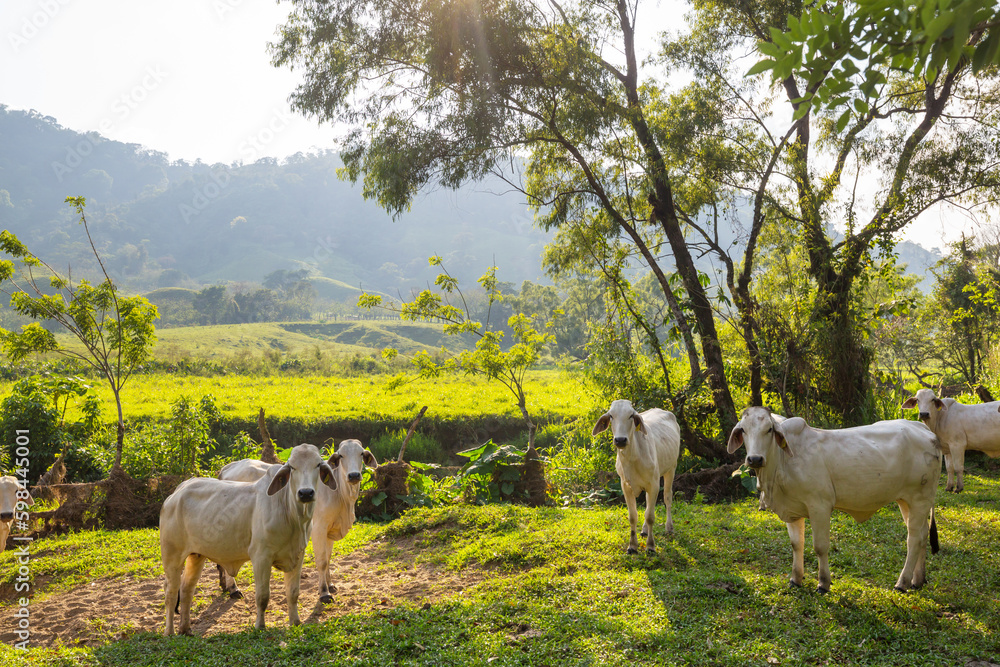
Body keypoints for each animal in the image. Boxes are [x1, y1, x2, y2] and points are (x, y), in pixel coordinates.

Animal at [159, 443, 338, 635]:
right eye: (291, 467)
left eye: (318, 465)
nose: (305, 493)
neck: (291, 514)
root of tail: (176, 493)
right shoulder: (261, 557)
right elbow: (262, 596)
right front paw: (260, 626)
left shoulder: (298, 555)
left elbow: (293, 593)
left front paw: (295, 623)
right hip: (172, 557)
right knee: (170, 592)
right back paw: (169, 632)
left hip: (196, 555)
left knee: (186, 589)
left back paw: (186, 629)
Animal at [218, 439, 377, 604]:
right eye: (341, 455)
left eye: (361, 453)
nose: (354, 475)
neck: (341, 495)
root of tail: (229, 466)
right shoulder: (319, 528)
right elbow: (322, 561)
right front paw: (324, 592)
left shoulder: (330, 531)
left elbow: (328, 558)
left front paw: (330, 584)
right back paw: (233, 589)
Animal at [592, 399, 680, 554]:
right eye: (611, 416)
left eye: (631, 415)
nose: (620, 440)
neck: (632, 457)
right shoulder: (625, 485)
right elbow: (633, 516)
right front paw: (632, 546)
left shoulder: (654, 484)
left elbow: (650, 516)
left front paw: (650, 546)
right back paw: (644, 530)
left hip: (671, 469)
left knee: (667, 498)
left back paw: (669, 527)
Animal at [728, 407, 941, 593]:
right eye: (743, 430)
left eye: (769, 429)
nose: (755, 459)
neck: (782, 463)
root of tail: (923, 429)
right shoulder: (792, 510)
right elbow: (797, 544)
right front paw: (795, 579)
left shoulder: (819, 506)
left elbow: (820, 547)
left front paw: (823, 584)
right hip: (906, 501)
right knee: (922, 535)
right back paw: (917, 580)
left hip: (920, 498)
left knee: (914, 538)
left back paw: (902, 583)